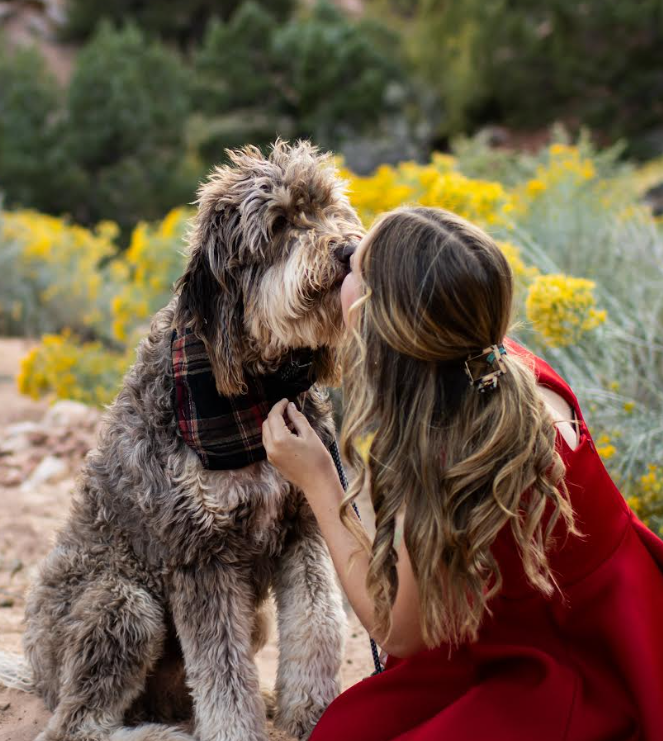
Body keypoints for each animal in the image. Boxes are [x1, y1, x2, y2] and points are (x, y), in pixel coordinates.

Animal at [5, 140, 364, 741]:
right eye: (279, 223)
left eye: (328, 208)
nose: (349, 249)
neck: (256, 391)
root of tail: (36, 671)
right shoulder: (200, 552)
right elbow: (223, 672)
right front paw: (240, 730)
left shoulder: (304, 522)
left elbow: (319, 623)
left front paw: (310, 715)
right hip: (126, 604)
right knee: (76, 725)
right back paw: (162, 733)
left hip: (245, 619)